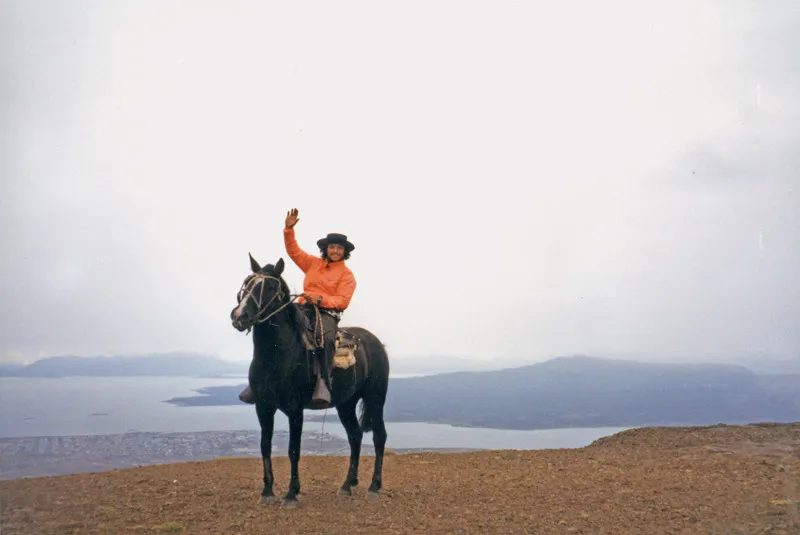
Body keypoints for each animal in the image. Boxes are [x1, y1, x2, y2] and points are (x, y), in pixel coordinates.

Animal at [229, 253, 390, 507]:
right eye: (247, 282)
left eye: (271, 287)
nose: (239, 316)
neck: (277, 356)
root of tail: (376, 343)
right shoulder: (263, 407)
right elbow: (265, 446)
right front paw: (267, 492)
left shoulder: (295, 410)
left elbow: (293, 450)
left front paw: (291, 494)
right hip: (346, 404)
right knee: (354, 436)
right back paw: (347, 485)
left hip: (375, 398)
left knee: (379, 436)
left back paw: (374, 486)